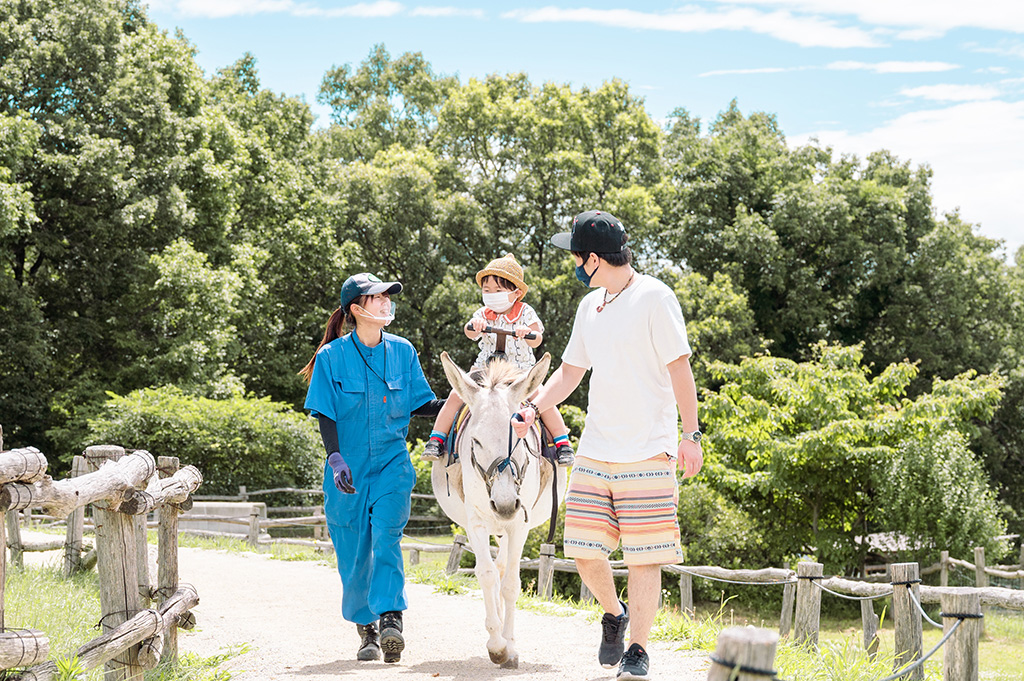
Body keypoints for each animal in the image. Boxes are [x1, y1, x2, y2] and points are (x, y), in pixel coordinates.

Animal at [430, 351, 567, 669]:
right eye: (476, 441)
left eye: (520, 437)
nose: (504, 504)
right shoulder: (476, 522)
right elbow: (486, 574)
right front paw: (497, 646)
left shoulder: (518, 524)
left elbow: (510, 585)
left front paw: (509, 646)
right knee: (494, 569)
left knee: (504, 569)